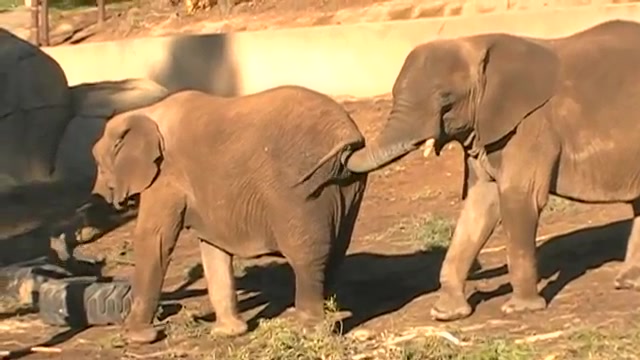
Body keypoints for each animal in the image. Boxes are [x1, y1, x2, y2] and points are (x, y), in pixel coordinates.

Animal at [91, 86, 370, 344]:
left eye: (101, 168)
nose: (100, 196)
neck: (145, 112)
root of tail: (347, 134)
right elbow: (213, 247)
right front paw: (228, 333)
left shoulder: (166, 176)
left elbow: (155, 238)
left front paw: (138, 337)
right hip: (347, 187)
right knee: (335, 250)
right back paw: (328, 312)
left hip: (303, 189)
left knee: (307, 256)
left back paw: (311, 331)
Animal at [342, 19, 640, 322]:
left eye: (445, 99)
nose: (346, 149)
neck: (476, 44)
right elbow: (481, 202)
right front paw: (446, 314)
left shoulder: (531, 127)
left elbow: (519, 198)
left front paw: (519, 309)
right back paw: (628, 282)